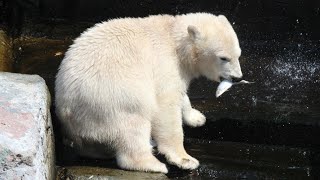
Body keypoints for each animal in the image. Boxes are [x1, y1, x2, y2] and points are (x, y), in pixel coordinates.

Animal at [55, 12, 242, 173]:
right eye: (223, 58)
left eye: (238, 54)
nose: (237, 78)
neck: (174, 38)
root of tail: (66, 111)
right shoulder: (164, 62)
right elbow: (166, 106)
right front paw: (185, 159)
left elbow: (179, 94)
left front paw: (196, 118)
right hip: (113, 97)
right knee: (133, 123)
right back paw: (154, 164)